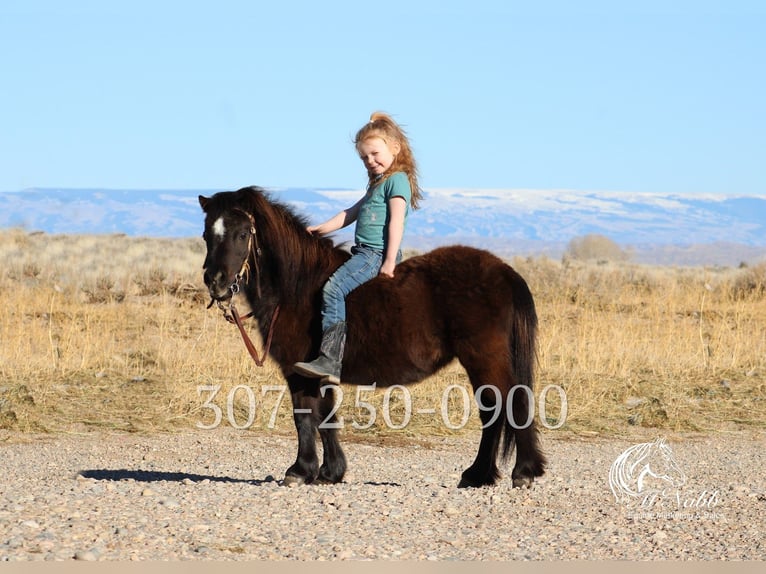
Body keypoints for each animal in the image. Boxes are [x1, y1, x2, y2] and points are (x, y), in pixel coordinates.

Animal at [198, 186, 546, 488]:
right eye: (206, 234)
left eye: (243, 233)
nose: (216, 282)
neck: (296, 287)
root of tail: (504, 272)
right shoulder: (313, 371)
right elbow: (322, 415)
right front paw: (327, 471)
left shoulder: (300, 369)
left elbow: (307, 415)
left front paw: (302, 470)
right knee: (494, 410)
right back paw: (478, 475)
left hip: (483, 357)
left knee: (508, 404)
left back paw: (520, 472)